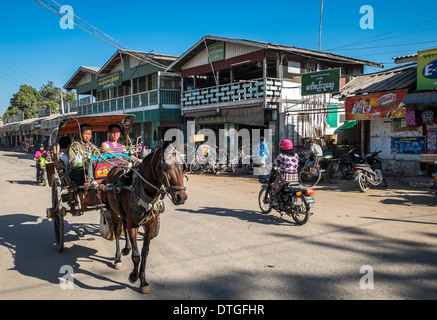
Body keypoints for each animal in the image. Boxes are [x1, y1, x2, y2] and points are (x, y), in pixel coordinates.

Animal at [106, 141, 188, 294]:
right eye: (166, 167)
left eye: (183, 167)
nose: (181, 197)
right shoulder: (134, 224)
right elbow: (136, 255)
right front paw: (133, 276)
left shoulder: (150, 224)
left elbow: (144, 252)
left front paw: (143, 281)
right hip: (114, 212)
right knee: (117, 231)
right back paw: (118, 259)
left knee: (124, 226)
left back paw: (126, 248)